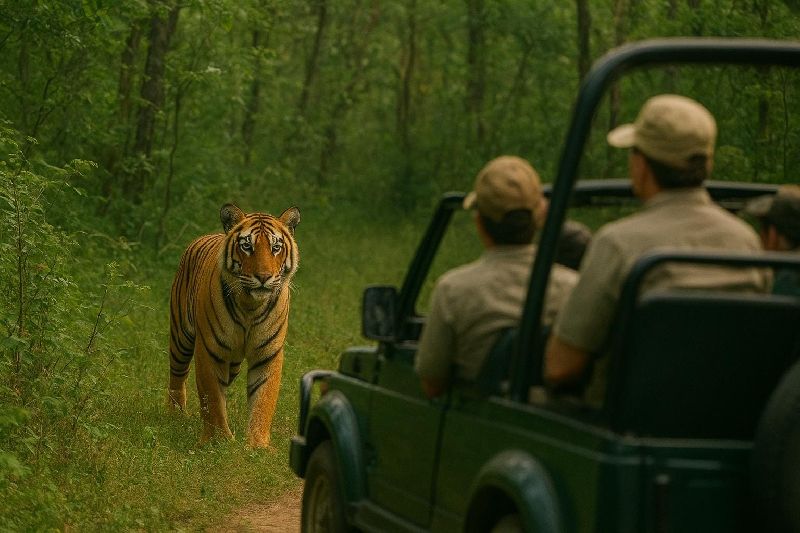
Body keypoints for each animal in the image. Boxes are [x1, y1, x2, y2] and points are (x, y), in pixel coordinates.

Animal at [167, 203, 300, 448]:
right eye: (247, 246)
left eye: (276, 247)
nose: (264, 277)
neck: (250, 305)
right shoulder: (210, 350)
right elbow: (212, 396)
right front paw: (218, 440)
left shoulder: (268, 353)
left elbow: (263, 399)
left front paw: (257, 444)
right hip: (181, 336)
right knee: (177, 374)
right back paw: (175, 414)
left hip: (234, 363)